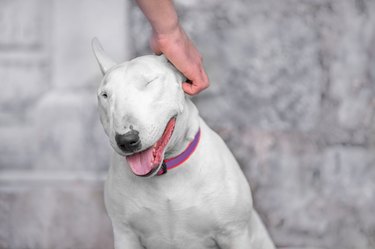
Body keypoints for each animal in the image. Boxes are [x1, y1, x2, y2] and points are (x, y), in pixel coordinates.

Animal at [93, 38, 276, 248]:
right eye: (105, 95)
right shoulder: (125, 235)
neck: (167, 176)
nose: (126, 140)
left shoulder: (234, 233)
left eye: (149, 82)